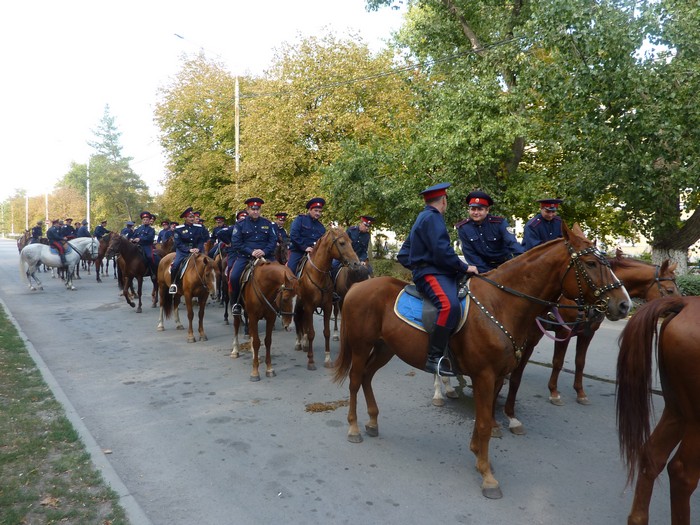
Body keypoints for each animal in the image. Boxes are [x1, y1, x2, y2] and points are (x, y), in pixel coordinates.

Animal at [294, 227, 364, 370]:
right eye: (342, 243)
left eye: (351, 242)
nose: (356, 263)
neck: (318, 274)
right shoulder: (309, 306)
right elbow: (311, 333)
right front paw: (311, 361)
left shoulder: (327, 306)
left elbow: (326, 332)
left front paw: (327, 359)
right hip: (300, 303)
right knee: (298, 318)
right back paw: (299, 342)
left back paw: (304, 342)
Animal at [330, 222, 632, 500]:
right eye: (591, 263)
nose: (624, 305)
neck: (501, 303)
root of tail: (358, 287)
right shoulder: (484, 375)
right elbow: (485, 423)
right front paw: (487, 476)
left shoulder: (496, 376)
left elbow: (483, 418)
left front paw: (478, 455)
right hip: (361, 347)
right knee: (355, 381)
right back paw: (354, 427)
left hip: (385, 349)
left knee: (367, 377)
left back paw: (372, 422)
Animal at [432, 250, 680, 434]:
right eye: (669, 289)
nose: (625, 306)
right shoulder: (560, 332)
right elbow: (557, 363)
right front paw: (553, 393)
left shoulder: (585, 333)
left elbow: (578, 362)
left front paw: (579, 393)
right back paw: (441, 391)